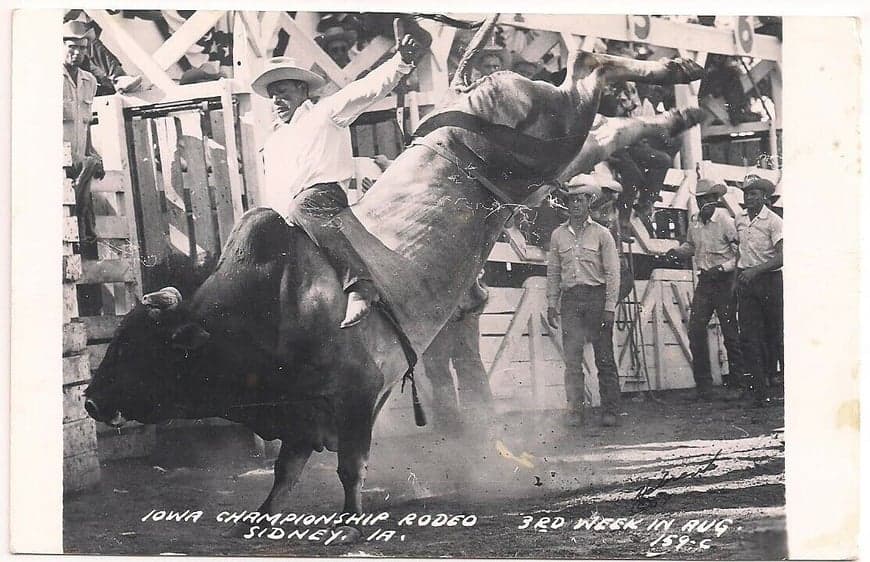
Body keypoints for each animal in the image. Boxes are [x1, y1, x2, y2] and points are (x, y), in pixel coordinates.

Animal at [85, 14, 704, 532]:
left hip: (547, 138)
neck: (269, 312)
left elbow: (350, 468)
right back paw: (680, 108)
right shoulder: (302, 420)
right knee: (603, 127)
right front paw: (260, 518)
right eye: (116, 343)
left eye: (143, 351)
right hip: (538, 169)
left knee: (589, 69)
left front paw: (351, 519)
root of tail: (463, 98)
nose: (90, 402)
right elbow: (284, 475)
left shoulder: (357, 398)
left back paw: (677, 79)